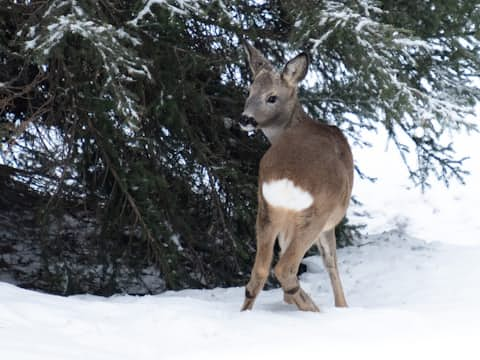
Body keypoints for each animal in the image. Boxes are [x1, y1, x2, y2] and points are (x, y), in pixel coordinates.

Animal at [239, 42, 352, 312]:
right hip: (315, 214)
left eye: (271, 97)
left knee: (259, 271)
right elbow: (331, 261)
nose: (245, 119)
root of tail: (285, 178)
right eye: (250, 91)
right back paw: (314, 310)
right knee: (285, 268)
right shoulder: (329, 221)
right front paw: (343, 306)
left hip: (266, 210)